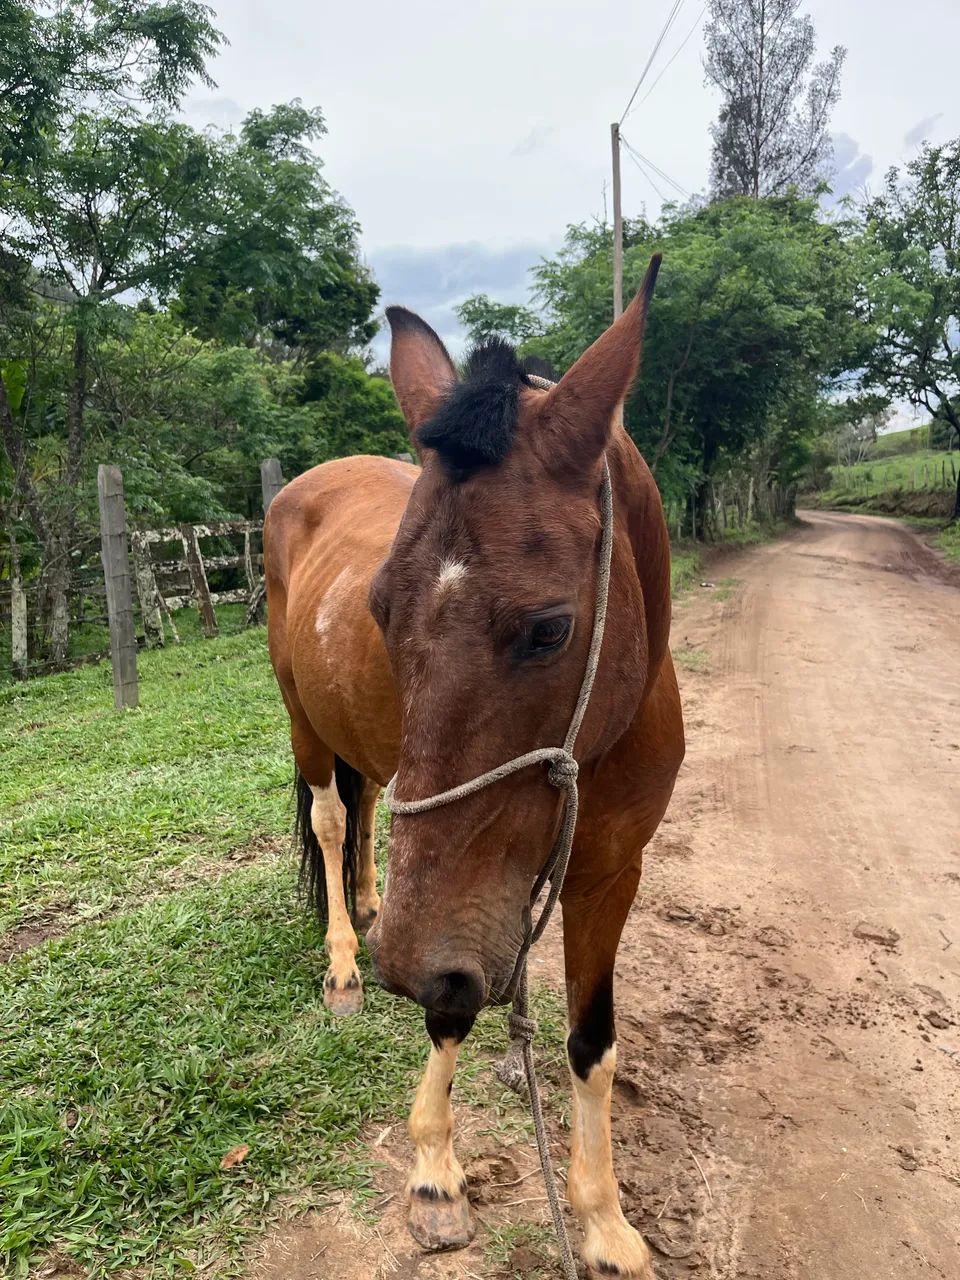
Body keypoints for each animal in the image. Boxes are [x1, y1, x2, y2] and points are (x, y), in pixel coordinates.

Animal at [263, 254, 685, 1280]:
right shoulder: (463, 897)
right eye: (380, 607)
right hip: (302, 721)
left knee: (365, 818)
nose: (394, 963)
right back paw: (344, 959)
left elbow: (591, 1040)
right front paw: (434, 1172)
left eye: (549, 629)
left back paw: (368, 904)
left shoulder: (609, 870)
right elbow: (451, 1003)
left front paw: (604, 1218)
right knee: (331, 819)